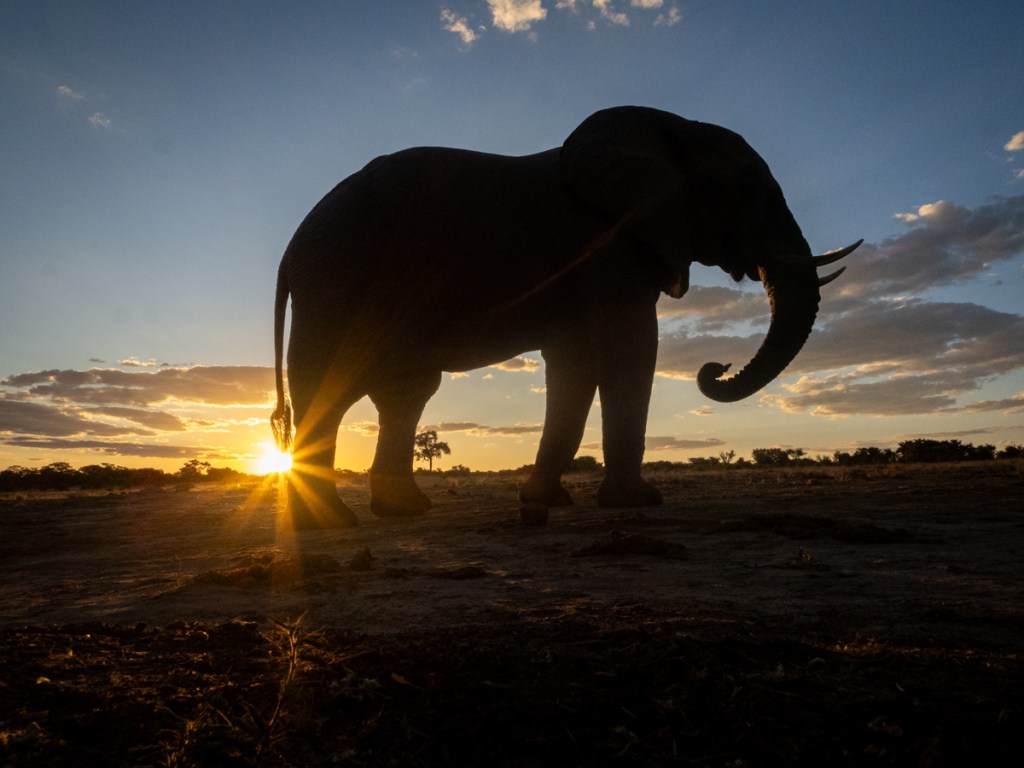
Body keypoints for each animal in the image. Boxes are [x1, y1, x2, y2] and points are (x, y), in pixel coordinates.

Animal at [271, 106, 858, 528]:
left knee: (407, 393)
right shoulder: (602, 244)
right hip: (336, 278)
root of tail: (292, 246)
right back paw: (329, 526)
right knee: (332, 383)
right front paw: (639, 503)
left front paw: (545, 502)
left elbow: (574, 364)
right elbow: (632, 342)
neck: (670, 129)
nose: (716, 368)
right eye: (748, 191)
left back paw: (402, 513)